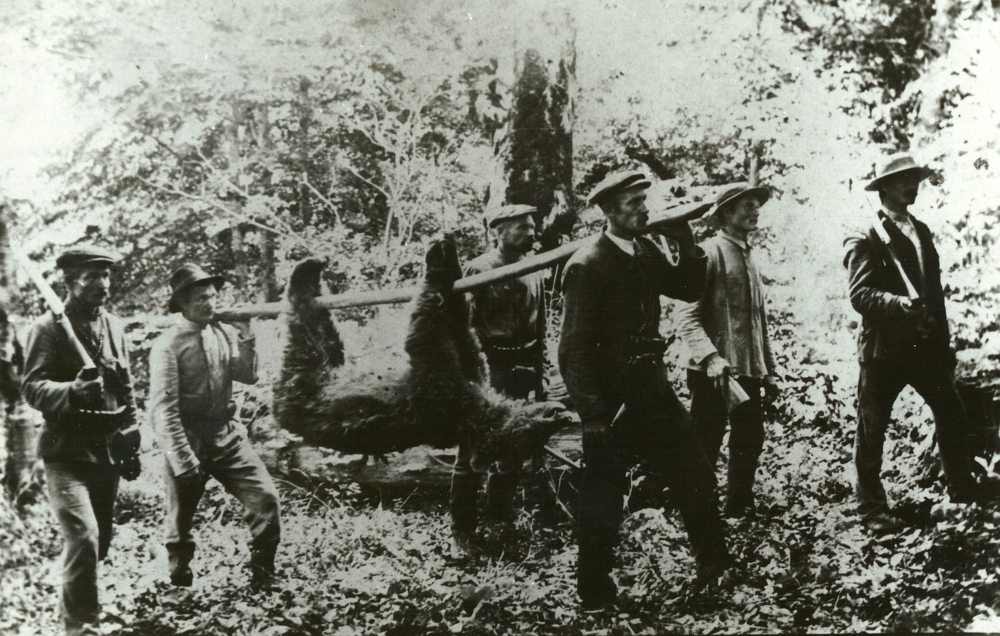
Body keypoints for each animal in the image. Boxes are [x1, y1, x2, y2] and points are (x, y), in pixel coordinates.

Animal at [272, 234, 580, 468]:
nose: (562, 412)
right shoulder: (466, 384)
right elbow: (467, 343)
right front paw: (451, 261)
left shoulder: (444, 397)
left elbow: (427, 332)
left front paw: (437, 265)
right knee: (327, 343)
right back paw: (312, 274)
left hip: (302, 387)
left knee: (307, 340)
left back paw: (303, 279)